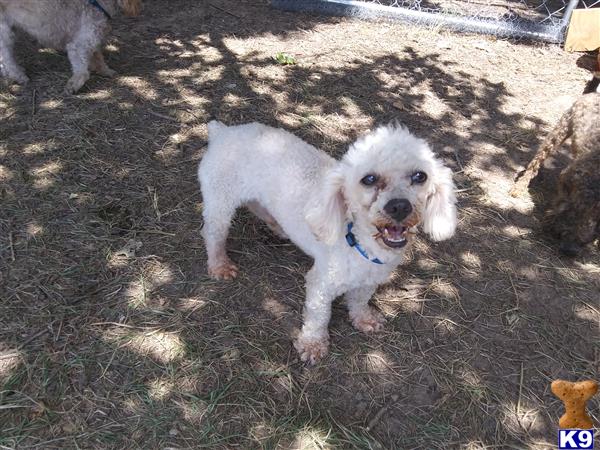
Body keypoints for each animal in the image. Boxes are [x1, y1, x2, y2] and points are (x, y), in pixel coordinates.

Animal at [0, 0, 142, 93]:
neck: (98, 4)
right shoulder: (78, 46)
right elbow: (82, 71)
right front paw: (73, 85)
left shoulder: (92, 39)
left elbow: (98, 58)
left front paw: (106, 71)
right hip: (5, 32)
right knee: (7, 59)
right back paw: (19, 76)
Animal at [199, 121, 458, 364]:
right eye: (369, 179)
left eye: (420, 176)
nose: (399, 206)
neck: (361, 243)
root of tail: (223, 131)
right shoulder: (320, 284)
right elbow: (318, 317)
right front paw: (313, 345)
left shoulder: (369, 280)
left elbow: (360, 300)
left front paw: (364, 318)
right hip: (220, 200)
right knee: (212, 232)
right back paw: (219, 265)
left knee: (258, 207)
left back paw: (279, 228)